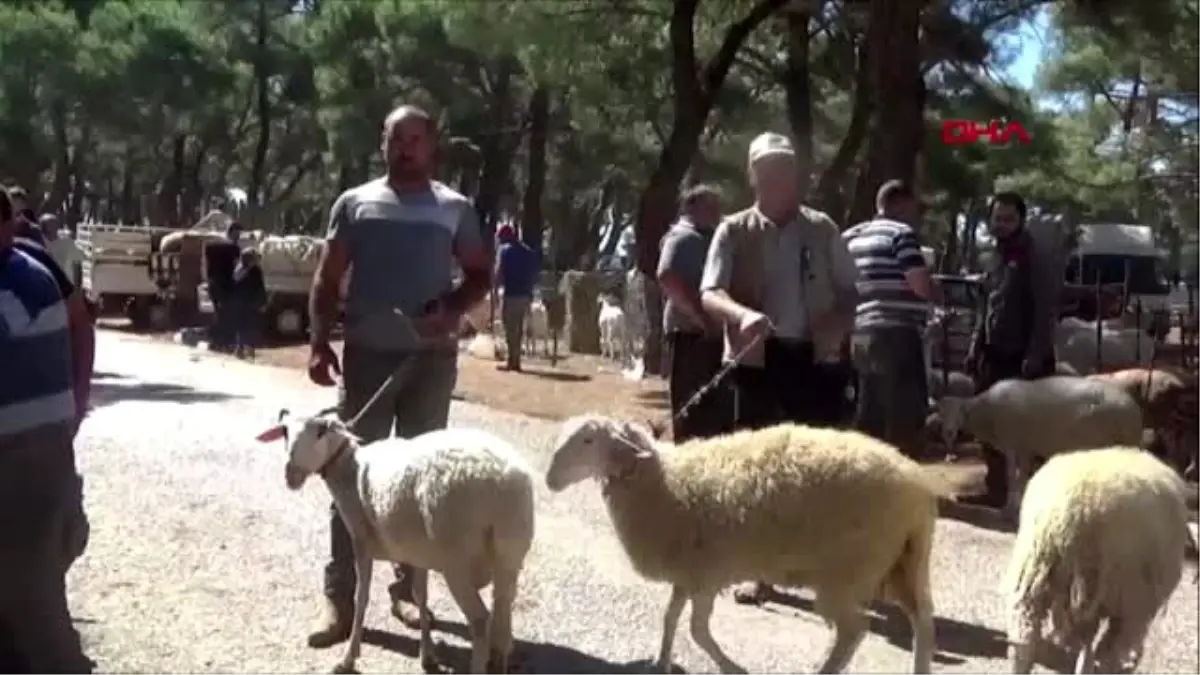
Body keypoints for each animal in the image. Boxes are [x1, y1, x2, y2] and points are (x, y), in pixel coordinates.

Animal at [258, 410, 535, 672]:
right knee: (502, 625)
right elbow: (420, 596)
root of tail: (508, 481)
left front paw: (348, 658)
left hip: (457, 560)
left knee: (480, 621)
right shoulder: (419, 554)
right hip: (509, 557)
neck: (350, 471)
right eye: (285, 432)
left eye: (320, 431)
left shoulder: (362, 542)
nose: (290, 475)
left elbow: (362, 597)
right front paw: (427, 654)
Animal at [544, 415, 945, 672]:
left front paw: (733, 669)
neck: (660, 480)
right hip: (905, 561)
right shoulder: (686, 574)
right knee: (922, 623)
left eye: (588, 440)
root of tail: (918, 486)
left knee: (854, 630)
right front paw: (661, 661)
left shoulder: (706, 576)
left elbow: (698, 630)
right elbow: (670, 619)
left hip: (846, 572)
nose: (549, 479)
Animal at [931, 372, 1137, 521]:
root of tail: (1130, 410)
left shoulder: (1012, 443)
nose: (948, 432)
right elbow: (1023, 477)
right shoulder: (1025, 448)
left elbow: (1011, 477)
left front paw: (1007, 512)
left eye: (959, 412)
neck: (988, 412)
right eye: (941, 413)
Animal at [1008, 446, 1195, 672]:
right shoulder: (1133, 605)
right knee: (1109, 648)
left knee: (1024, 639)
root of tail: (1073, 510)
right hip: (1111, 587)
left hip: (1034, 574)